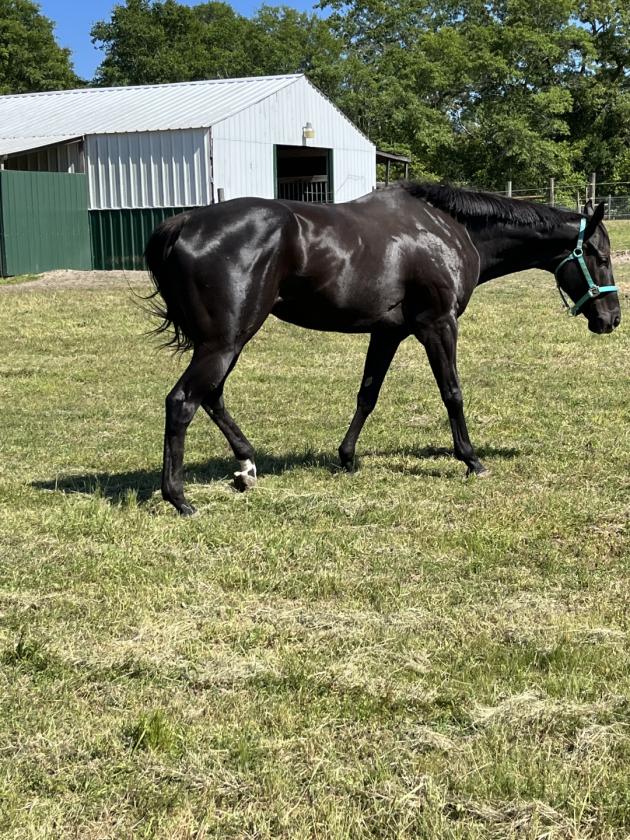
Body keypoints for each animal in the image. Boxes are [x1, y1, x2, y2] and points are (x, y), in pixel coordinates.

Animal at [145, 182, 621, 516]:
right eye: (600, 257)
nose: (611, 319)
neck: (449, 230)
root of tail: (185, 223)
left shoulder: (388, 334)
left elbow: (368, 394)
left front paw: (347, 457)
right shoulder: (437, 325)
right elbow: (452, 393)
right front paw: (471, 459)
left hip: (228, 342)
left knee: (212, 397)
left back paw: (246, 467)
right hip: (224, 342)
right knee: (183, 401)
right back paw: (179, 498)